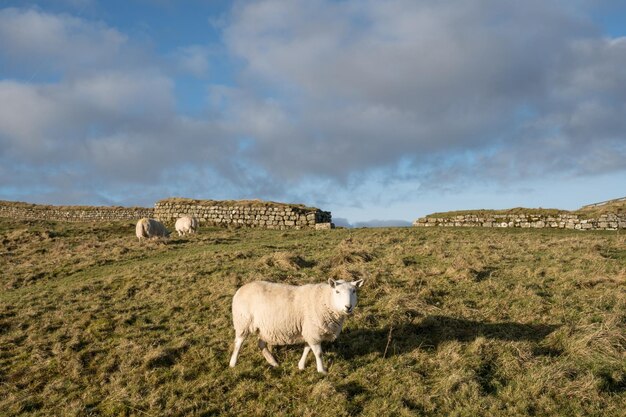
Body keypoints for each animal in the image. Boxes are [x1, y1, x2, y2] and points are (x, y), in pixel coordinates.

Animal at [227, 278, 364, 372]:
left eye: (354, 291)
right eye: (337, 291)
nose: (348, 307)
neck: (325, 300)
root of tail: (241, 289)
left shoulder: (309, 331)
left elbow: (307, 348)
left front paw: (301, 365)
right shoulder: (313, 331)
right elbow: (318, 353)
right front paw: (322, 370)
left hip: (264, 327)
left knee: (261, 344)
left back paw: (273, 362)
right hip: (243, 322)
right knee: (238, 343)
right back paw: (233, 363)